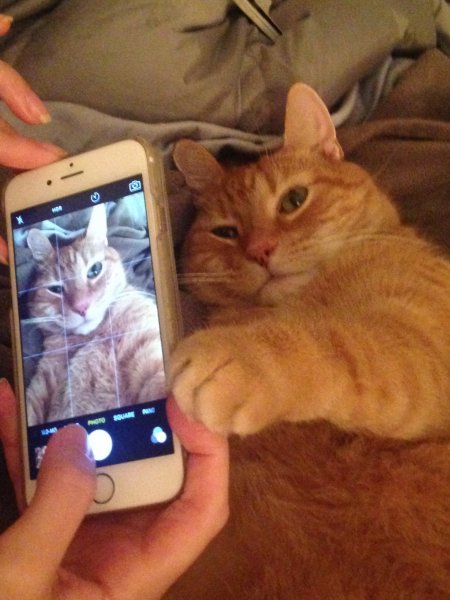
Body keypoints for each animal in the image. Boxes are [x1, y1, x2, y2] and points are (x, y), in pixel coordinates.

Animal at [170, 82, 450, 441]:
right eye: (225, 232)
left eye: (294, 200)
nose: (260, 250)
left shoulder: (420, 345)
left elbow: (341, 345)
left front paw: (244, 355)